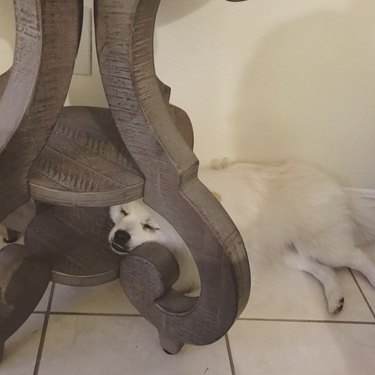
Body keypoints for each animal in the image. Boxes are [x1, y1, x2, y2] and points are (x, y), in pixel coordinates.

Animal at [110, 159, 375, 314]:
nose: (120, 236)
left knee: (358, 258)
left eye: (150, 226)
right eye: (123, 212)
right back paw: (335, 299)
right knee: (324, 270)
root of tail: (338, 187)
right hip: (291, 253)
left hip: (321, 244)